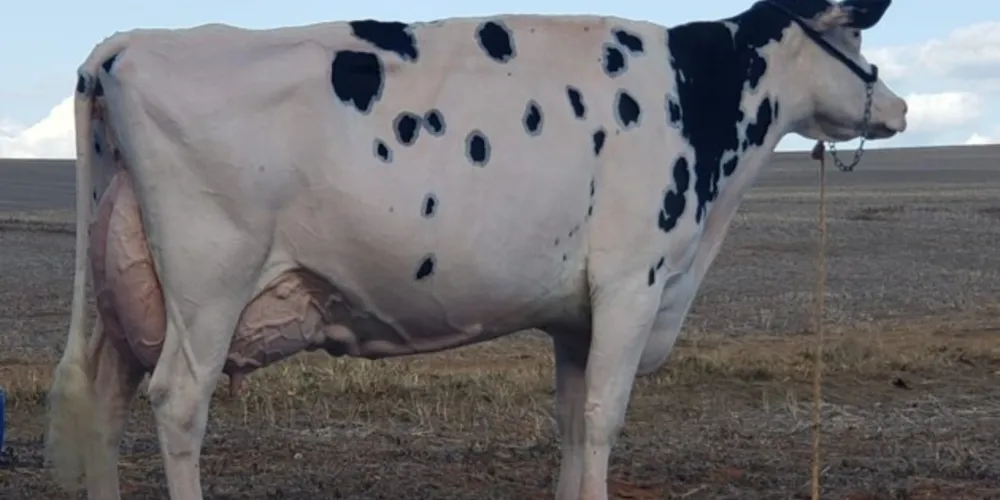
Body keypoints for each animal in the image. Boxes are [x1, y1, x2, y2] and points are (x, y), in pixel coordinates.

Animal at [45, 0, 906, 498]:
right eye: (856, 32)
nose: (898, 106)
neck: (693, 97)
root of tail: (122, 47)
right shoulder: (632, 282)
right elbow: (604, 420)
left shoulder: (577, 316)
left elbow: (571, 422)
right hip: (209, 279)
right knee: (177, 402)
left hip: (125, 285)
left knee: (103, 401)